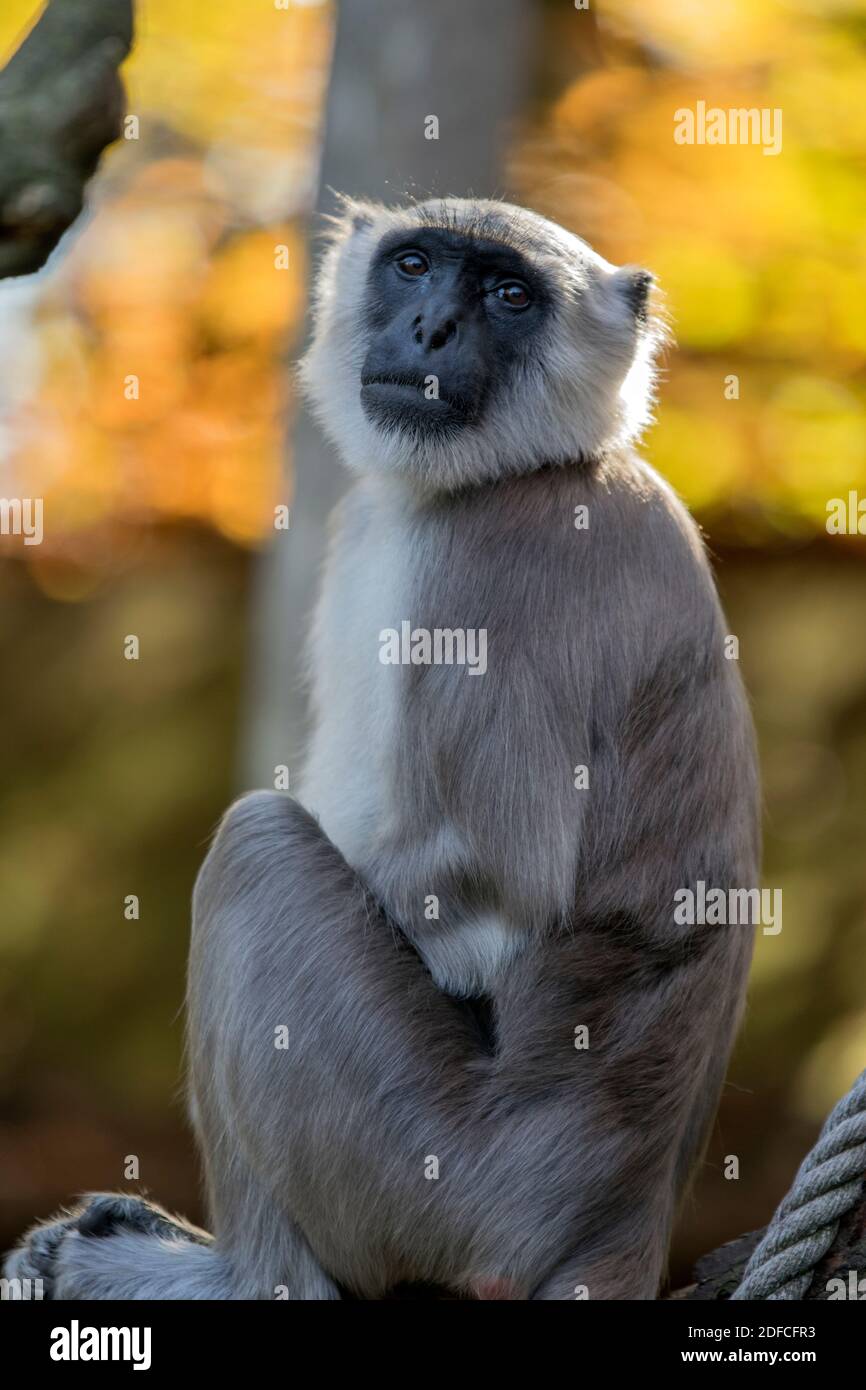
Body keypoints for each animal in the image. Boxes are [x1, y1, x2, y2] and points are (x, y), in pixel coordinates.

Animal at [3, 198, 756, 1301]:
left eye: (507, 294)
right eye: (413, 267)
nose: (432, 330)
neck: (528, 471)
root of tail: (625, 1224)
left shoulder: (494, 567)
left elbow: (497, 877)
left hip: (446, 1183)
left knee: (257, 849)